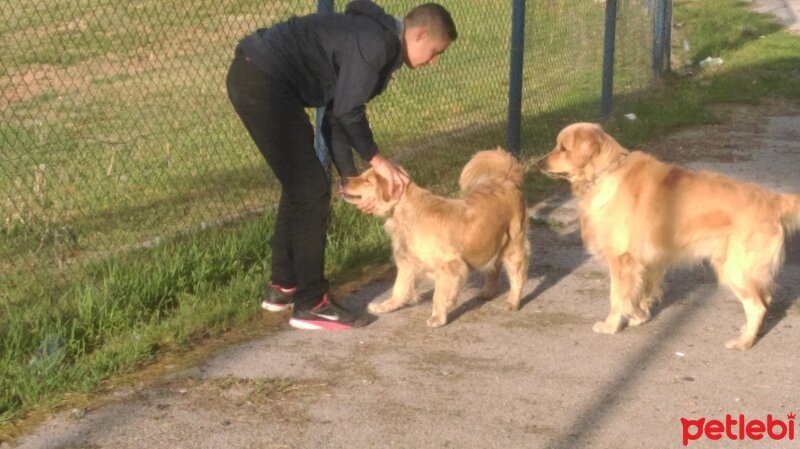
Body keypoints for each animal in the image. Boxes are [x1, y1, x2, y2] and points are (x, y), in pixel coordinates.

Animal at [340, 147, 528, 326]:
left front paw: (438, 317)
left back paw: (513, 301)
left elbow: (438, 296)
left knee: (517, 276)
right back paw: (487, 292)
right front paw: (385, 306)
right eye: (361, 176)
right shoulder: (407, 264)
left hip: (514, 247)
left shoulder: (449, 265)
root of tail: (506, 180)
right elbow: (398, 289)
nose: (343, 180)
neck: (407, 214)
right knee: (495, 267)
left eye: (367, 181)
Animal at [536, 122, 800, 350]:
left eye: (563, 148)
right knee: (765, 298)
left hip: (734, 269)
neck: (605, 173)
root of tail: (773, 199)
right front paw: (639, 316)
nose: (538, 163)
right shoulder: (648, 261)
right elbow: (641, 292)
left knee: (757, 306)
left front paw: (611, 325)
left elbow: (617, 296)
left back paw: (743, 342)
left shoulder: (622, 260)